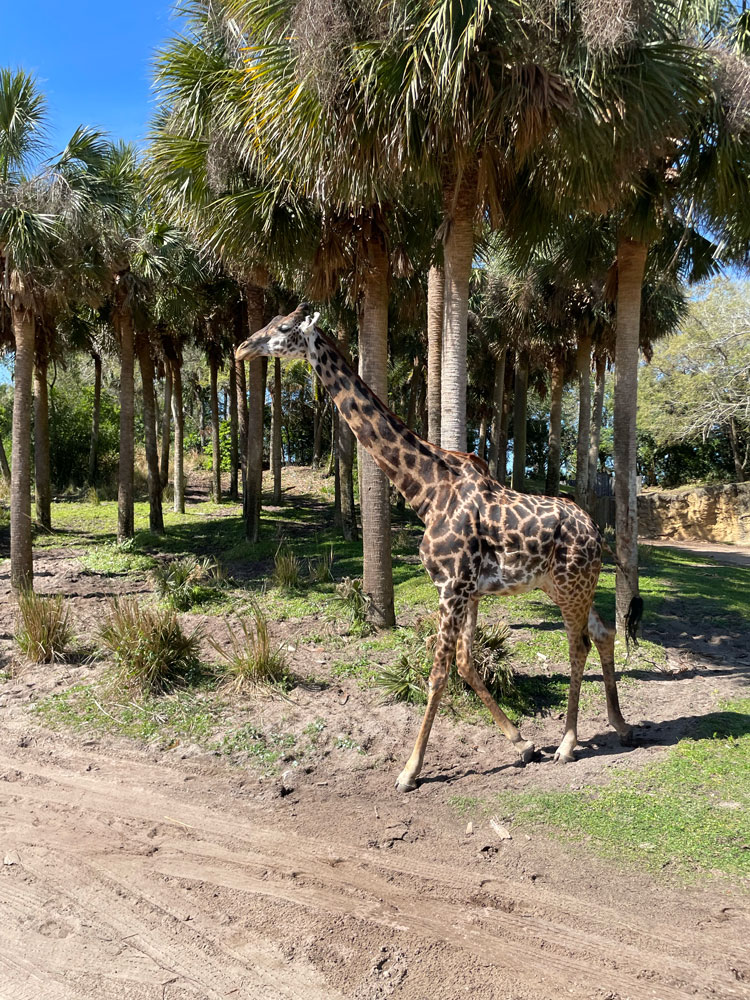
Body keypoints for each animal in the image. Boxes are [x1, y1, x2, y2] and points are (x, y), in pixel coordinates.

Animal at [236, 304, 637, 793]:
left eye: (283, 329)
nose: (241, 348)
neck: (425, 490)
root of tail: (597, 531)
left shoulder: (452, 586)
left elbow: (439, 672)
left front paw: (410, 771)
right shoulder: (467, 590)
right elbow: (465, 663)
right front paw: (521, 744)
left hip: (570, 586)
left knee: (578, 644)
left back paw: (567, 744)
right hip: (567, 586)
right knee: (603, 632)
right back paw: (619, 725)